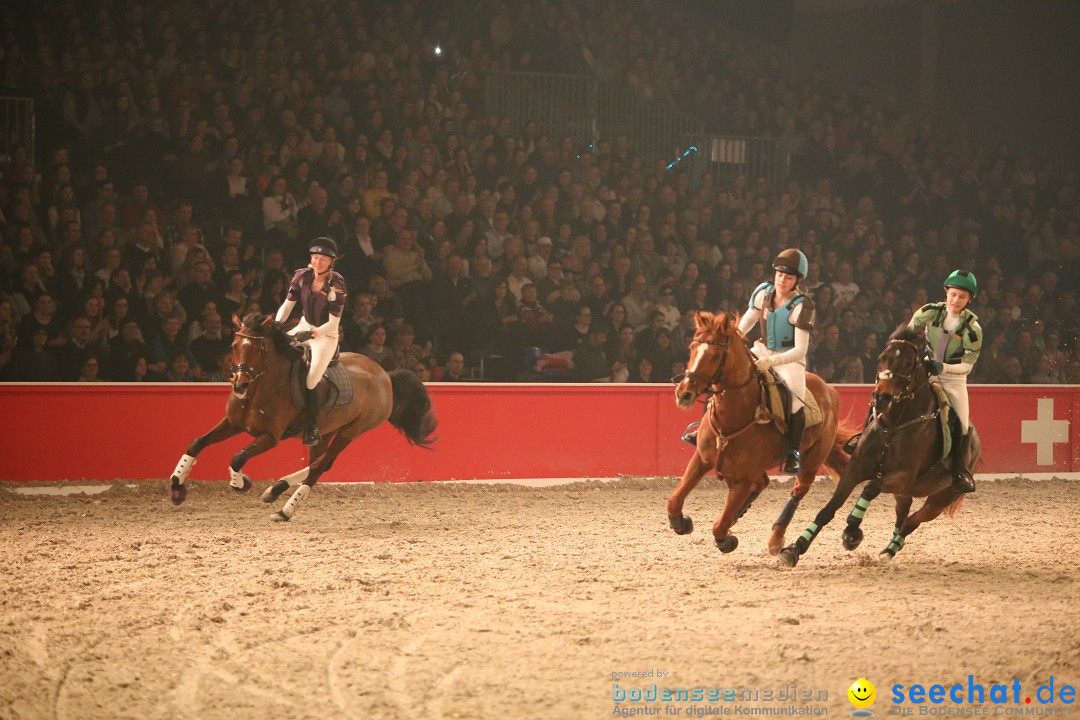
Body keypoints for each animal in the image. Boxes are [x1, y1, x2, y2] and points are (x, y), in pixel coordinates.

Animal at [166, 313, 436, 520]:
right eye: (234, 346)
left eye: (259, 349)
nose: (240, 385)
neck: (259, 390)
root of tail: (385, 375)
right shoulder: (233, 424)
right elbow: (197, 443)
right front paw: (177, 487)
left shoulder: (270, 437)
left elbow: (238, 457)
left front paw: (240, 483)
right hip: (325, 431)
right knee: (320, 462)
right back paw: (276, 491)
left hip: (351, 431)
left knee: (320, 466)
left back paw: (284, 507)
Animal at [669, 313, 855, 557]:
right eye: (692, 348)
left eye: (716, 355)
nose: (684, 393)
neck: (734, 418)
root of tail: (830, 391)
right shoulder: (701, 459)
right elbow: (674, 500)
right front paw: (681, 522)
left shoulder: (743, 480)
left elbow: (719, 527)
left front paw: (727, 540)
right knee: (763, 483)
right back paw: (739, 515)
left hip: (812, 460)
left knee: (798, 489)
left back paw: (776, 539)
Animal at [777, 325, 980, 569]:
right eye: (881, 358)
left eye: (909, 363)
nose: (881, 396)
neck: (894, 425)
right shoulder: (856, 469)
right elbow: (828, 509)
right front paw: (794, 549)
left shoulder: (902, 476)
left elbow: (870, 487)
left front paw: (852, 531)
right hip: (904, 492)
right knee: (903, 512)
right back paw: (890, 547)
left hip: (941, 496)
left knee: (913, 520)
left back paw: (891, 549)